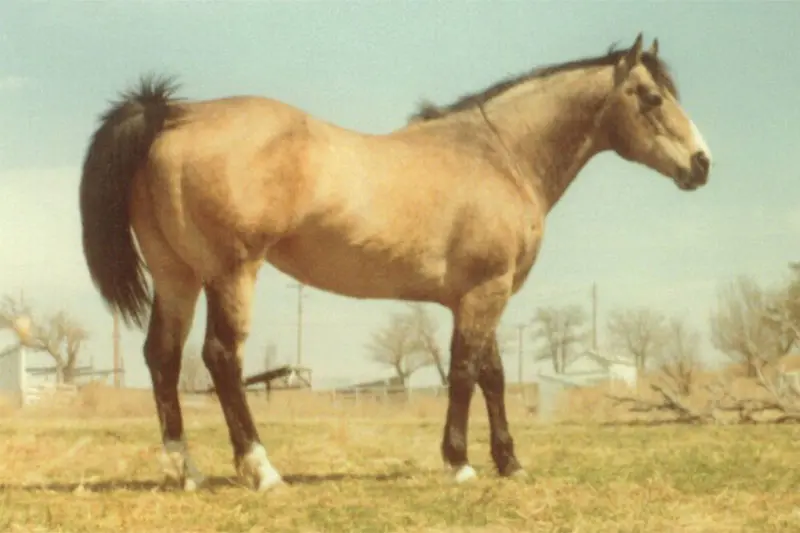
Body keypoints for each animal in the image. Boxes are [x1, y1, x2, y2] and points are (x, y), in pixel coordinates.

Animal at [78, 33, 712, 491]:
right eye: (652, 97)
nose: (702, 164)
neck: (498, 154)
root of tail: (169, 115)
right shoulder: (484, 293)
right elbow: (464, 372)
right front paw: (460, 463)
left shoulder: (481, 295)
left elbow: (492, 375)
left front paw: (509, 463)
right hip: (232, 274)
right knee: (219, 358)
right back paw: (262, 469)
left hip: (177, 277)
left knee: (162, 358)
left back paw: (184, 471)